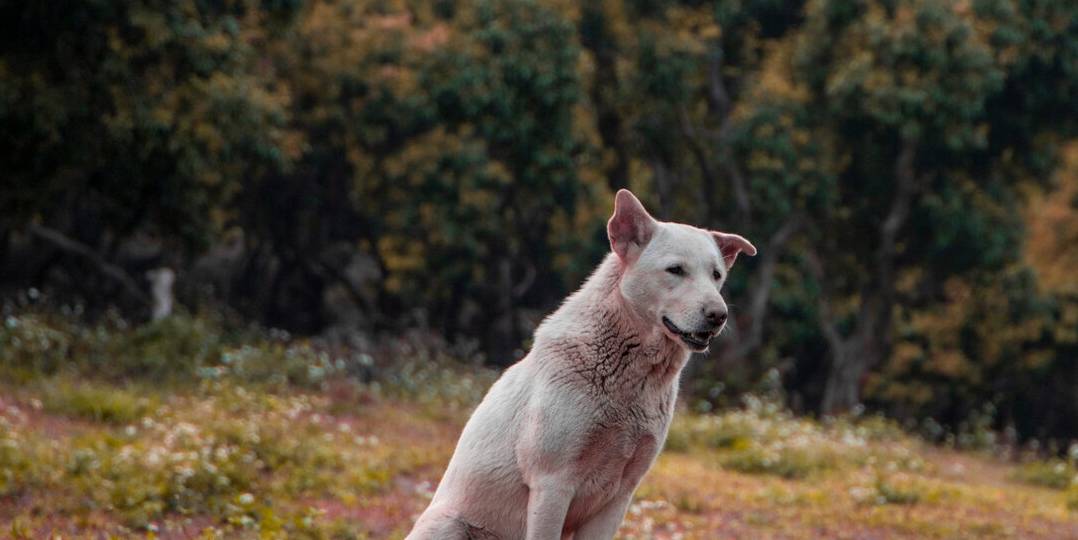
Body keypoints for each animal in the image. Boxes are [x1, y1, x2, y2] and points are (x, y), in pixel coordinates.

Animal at [405, 190, 758, 538]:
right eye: (675, 270)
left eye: (716, 275)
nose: (719, 315)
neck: (631, 375)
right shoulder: (552, 484)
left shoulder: (619, 495)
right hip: (446, 524)